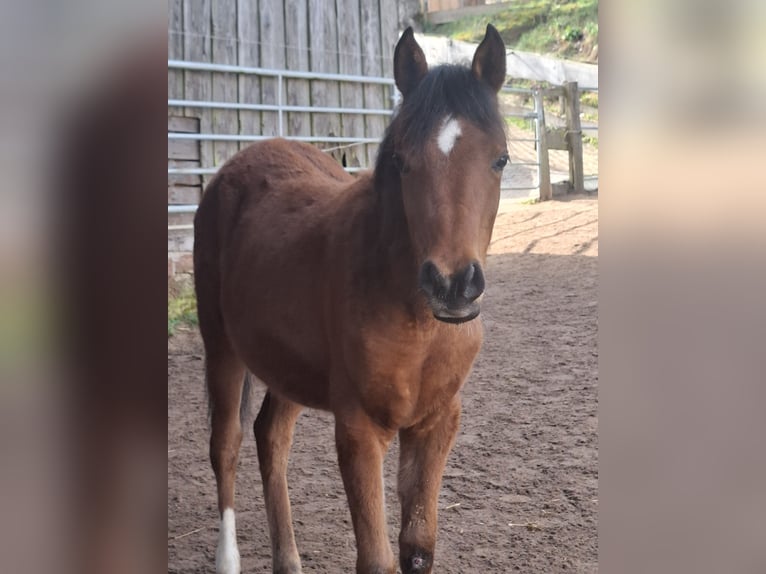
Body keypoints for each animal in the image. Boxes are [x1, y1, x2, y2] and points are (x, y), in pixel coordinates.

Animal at [193, 25, 508, 574]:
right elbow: (377, 559)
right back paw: (228, 559)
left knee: (270, 437)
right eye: (402, 160)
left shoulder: (435, 424)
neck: (419, 324)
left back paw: (288, 560)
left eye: (501, 159)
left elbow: (418, 547)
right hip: (222, 347)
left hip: (286, 366)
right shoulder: (360, 430)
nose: (452, 285)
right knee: (226, 444)